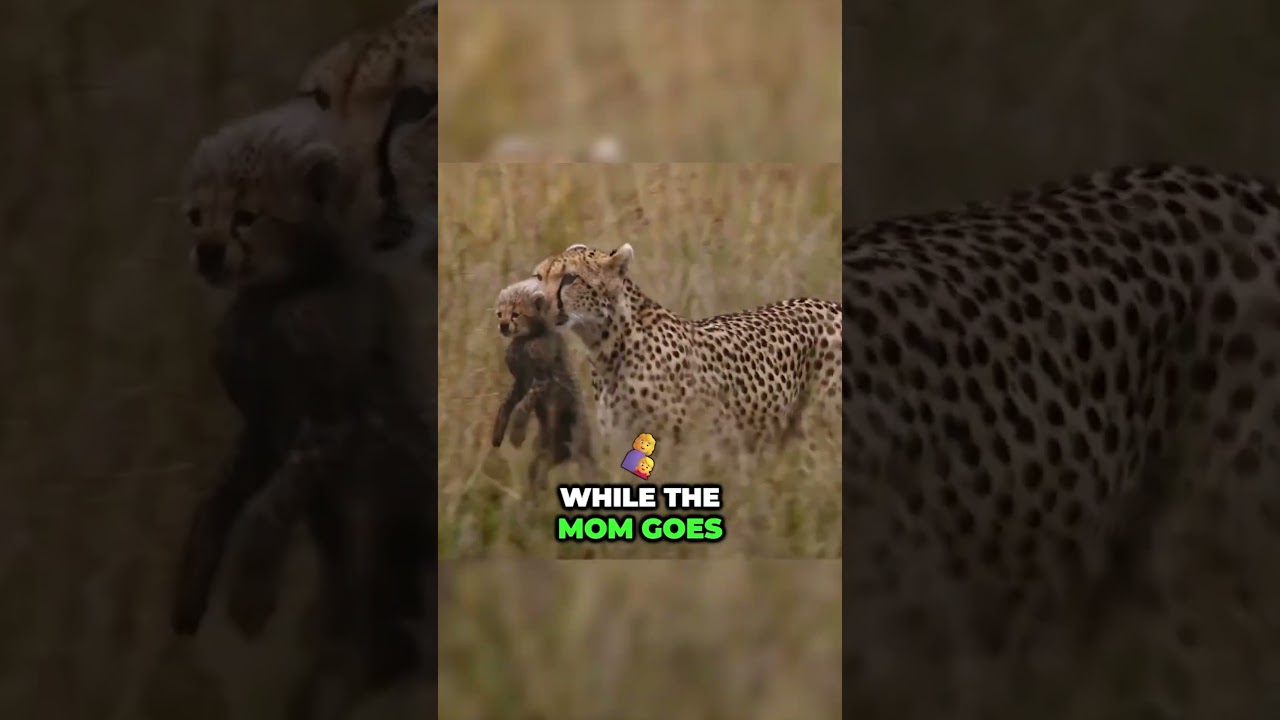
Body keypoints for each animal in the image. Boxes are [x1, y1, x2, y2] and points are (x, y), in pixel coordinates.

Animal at [169, 98, 433, 720]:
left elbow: (272, 502)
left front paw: (249, 594)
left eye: (247, 215)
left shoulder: (338, 420)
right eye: (196, 215)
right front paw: (194, 582)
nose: (208, 253)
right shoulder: (262, 425)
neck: (281, 296)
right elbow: (218, 501)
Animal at [490, 278, 597, 489]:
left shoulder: (543, 378)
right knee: (538, 472)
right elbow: (506, 404)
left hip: (579, 447)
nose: (503, 326)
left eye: (516, 314)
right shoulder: (520, 381)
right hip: (543, 454)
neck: (526, 339)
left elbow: (523, 405)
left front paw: (517, 433)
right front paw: (499, 431)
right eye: (499, 314)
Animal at [531, 242, 841, 471]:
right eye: (539, 277)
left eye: (570, 278)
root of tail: (829, 304)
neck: (608, 346)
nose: (538, 303)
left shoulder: (680, 449)